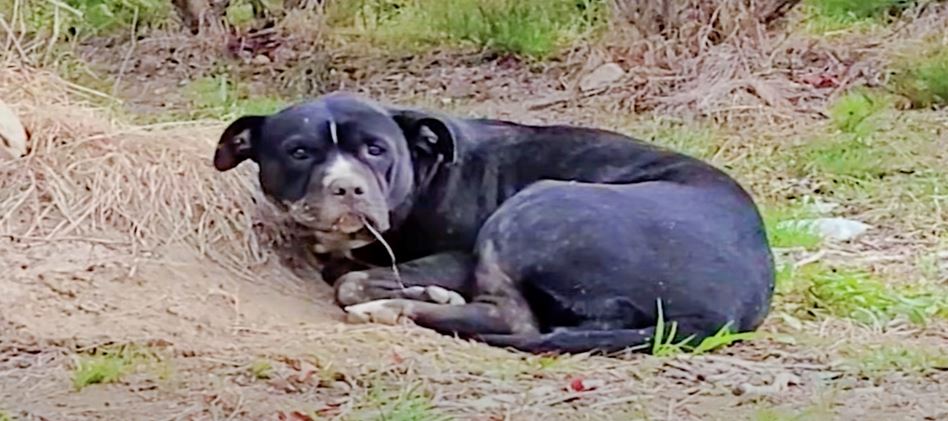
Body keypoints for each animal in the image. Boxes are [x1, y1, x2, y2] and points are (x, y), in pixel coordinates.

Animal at [211, 92, 772, 354]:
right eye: (299, 152)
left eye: (375, 149)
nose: (348, 187)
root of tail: (727, 311)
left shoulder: (459, 256)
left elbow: (350, 281)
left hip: (536, 206)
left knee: (514, 319)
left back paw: (396, 307)